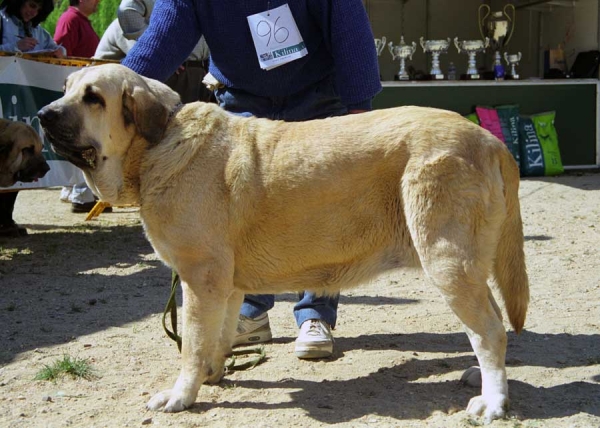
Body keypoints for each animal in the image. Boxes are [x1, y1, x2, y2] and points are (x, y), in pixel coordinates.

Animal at [38, 65, 528, 422]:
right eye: (65, 89)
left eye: (93, 98)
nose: (43, 115)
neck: (157, 146)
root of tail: (489, 140)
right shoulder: (226, 287)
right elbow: (216, 337)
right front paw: (213, 375)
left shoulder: (200, 280)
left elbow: (191, 344)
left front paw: (181, 394)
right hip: (467, 266)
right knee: (494, 325)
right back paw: (481, 378)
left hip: (447, 262)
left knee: (488, 330)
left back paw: (492, 402)